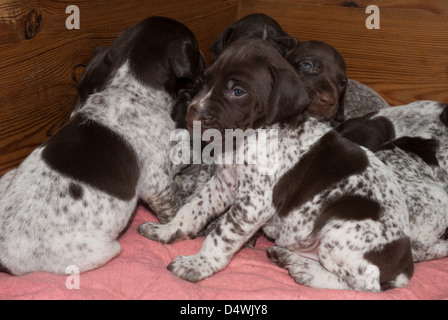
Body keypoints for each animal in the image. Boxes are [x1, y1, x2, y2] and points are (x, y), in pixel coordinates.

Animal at [0, 16, 205, 276]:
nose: (206, 59)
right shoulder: (156, 183)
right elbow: (170, 207)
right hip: (103, 249)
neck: (130, 89)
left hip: (7, 176)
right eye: (196, 49)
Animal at [139, 39, 412, 290]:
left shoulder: (253, 203)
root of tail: (406, 262)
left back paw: (305, 271)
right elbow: (192, 209)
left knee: (362, 284)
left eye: (238, 92)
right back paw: (288, 256)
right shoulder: (223, 183)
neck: (251, 135)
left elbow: (221, 235)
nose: (191, 114)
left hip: (341, 232)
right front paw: (167, 231)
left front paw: (198, 265)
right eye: (206, 80)